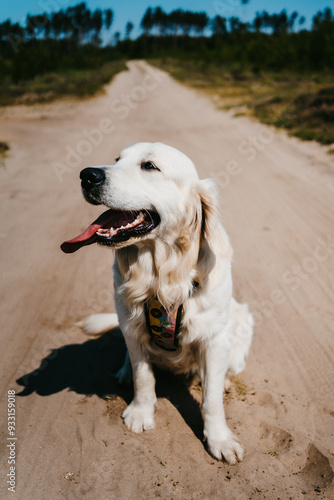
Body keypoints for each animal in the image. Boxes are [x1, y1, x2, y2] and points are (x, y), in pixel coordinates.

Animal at [61, 142, 253, 464]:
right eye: (117, 160)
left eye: (149, 166)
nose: (87, 175)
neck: (162, 277)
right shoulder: (132, 326)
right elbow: (143, 377)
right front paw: (141, 411)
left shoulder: (214, 337)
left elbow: (212, 399)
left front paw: (220, 438)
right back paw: (124, 372)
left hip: (242, 319)